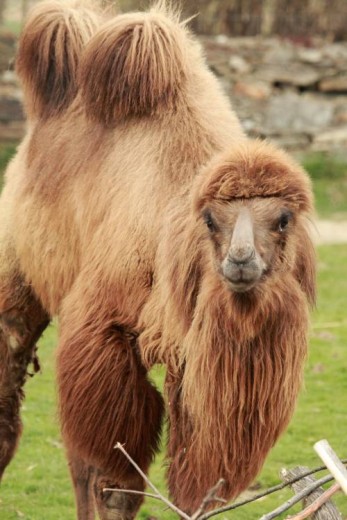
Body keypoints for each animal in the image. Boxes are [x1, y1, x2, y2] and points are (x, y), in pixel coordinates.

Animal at [0, 2, 316, 516]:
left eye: (283, 218)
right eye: (210, 219)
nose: (241, 261)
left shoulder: (190, 360)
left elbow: (198, 483)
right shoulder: (101, 331)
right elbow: (110, 476)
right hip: (16, 269)